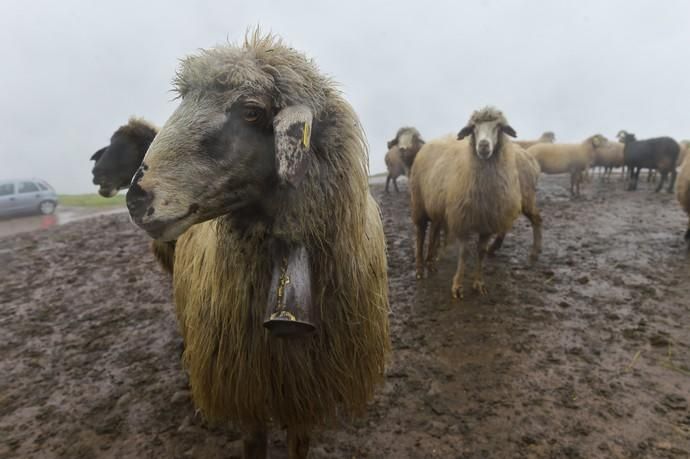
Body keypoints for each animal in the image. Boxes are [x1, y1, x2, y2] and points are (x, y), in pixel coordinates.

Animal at [124, 30, 390, 458]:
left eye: (251, 111)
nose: (137, 198)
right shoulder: (244, 385)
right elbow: (253, 441)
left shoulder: (305, 392)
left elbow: (299, 443)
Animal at [406, 108, 520, 302]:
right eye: (473, 128)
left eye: (499, 127)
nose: (483, 146)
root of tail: (431, 142)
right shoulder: (462, 219)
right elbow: (464, 253)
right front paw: (457, 287)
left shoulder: (487, 223)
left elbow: (481, 252)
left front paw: (479, 284)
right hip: (419, 204)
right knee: (420, 234)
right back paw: (420, 269)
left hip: (438, 209)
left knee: (433, 232)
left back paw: (431, 264)